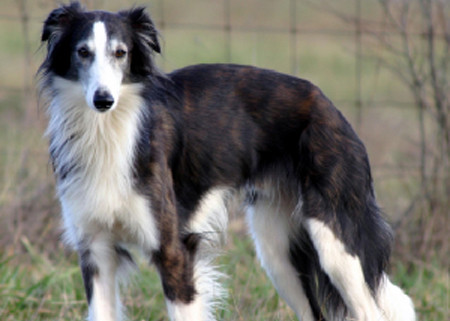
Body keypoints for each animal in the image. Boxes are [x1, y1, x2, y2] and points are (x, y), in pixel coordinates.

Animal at [38, 2, 414, 320]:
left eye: (120, 53)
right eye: (83, 52)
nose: (103, 100)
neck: (108, 132)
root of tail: (331, 108)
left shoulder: (174, 251)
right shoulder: (96, 251)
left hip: (334, 242)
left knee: (371, 311)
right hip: (278, 253)